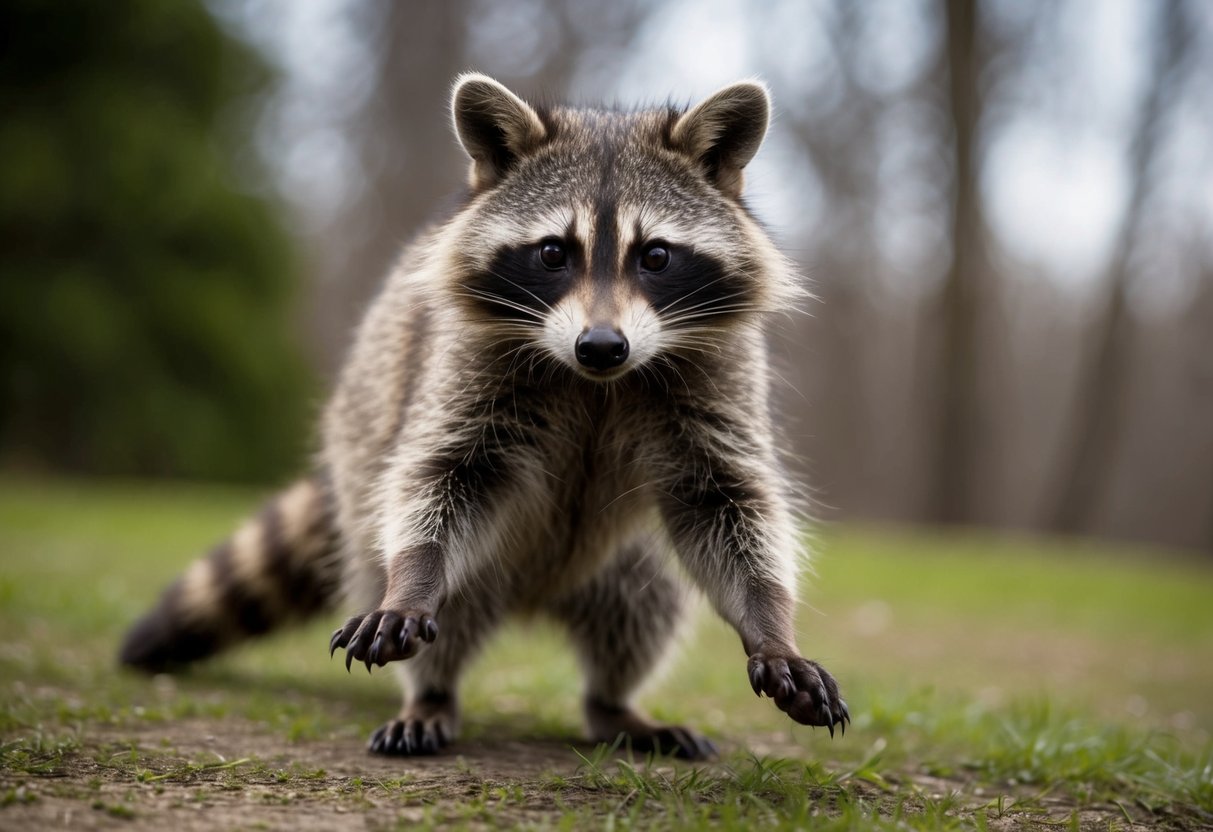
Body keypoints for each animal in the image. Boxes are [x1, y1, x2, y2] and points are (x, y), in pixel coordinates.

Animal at [120, 74, 849, 759]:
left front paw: (770, 625)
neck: (596, 383)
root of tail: (535, 594)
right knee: (445, 598)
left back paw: (613, 702)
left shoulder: (719, 373)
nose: (601, 346)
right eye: (553, 252)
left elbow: (730, 503)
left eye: (657, 256)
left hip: (626, 559)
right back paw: (431, 692)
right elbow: (439, 478)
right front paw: (411, 582)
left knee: (643, 609)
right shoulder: (462, 361)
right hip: (383, 504)